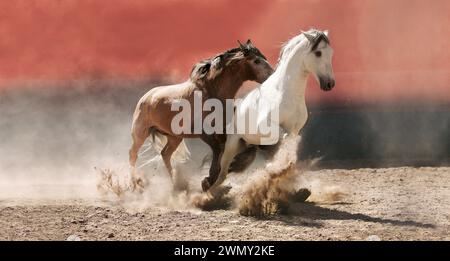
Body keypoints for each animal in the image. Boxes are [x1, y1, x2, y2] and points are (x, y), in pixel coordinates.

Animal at [128, 39, 272, 190]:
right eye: (256, 61)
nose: (272, 74)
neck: (211, 92)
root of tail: (146, 97)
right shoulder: (205, 133)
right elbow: (218, 149)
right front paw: (208, 180)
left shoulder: (224, 132)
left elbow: (230, 150)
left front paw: (213, 178)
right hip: (140, 133)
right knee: (133, 154)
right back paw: (135, 183)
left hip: (174, 137)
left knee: (165, 154)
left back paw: (177, 183)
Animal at [206, 30, 336, 193]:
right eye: (318, 53)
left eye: (331, 52)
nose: (330, 84)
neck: (286, 92)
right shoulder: (267, 128)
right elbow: (280, 137)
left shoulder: (294, 129)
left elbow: (288, 143)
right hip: (232, 144)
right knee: (222, 173)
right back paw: (208, 193)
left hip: (245, 145)